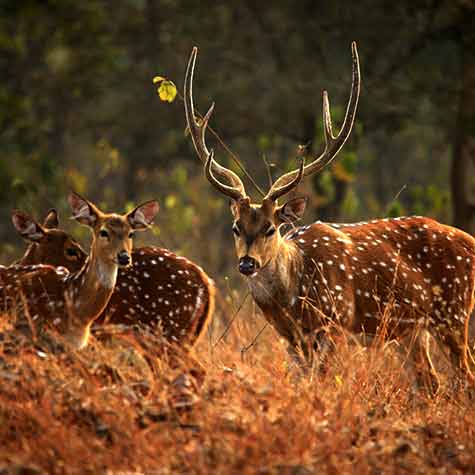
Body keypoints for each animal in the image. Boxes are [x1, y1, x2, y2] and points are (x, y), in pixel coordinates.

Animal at [185, 42, 475, 388]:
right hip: (411, 330)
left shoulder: (335, 322)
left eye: (271, 228)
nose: (247, 263)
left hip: (454, 313)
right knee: (431, 381)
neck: (291, 301)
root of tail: (470, 241)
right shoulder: (291, 339)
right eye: (235, 227)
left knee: (466, 375)